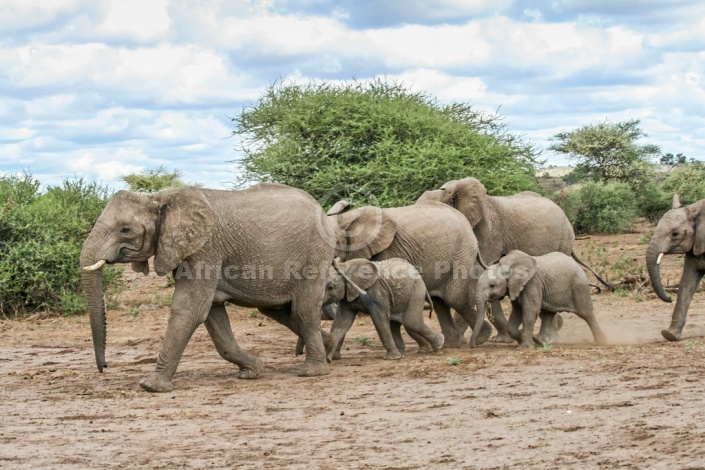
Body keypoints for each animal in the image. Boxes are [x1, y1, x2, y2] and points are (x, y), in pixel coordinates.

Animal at [78, 184, 336, 392]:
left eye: (125, 230)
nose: (104, 367)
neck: (159, 198)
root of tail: (321, 208)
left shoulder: (205, 249)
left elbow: (189, 309)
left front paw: (151, 386)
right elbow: (213, 315)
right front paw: (252, 371)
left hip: (314, 255)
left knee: (303, 310)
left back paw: (313, 371)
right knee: (278, 310)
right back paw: (330, 348)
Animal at [324, 198, 490, 348]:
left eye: (337, 243)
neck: (348, 218)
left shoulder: (388, 249)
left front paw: (424, 347)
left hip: (462, 253)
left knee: (454, 299)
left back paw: (480, 338)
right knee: (439, 301)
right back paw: (451, 344)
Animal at [472, 250, 604, 348]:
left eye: (492, 285)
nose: (472, 346)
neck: (509, 266)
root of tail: (577, 264)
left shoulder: (532, 283)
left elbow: (530, 311)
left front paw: (525, 347)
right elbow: (517, 313)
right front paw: (526, 339)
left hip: (579, 285)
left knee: (586, 313)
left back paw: (602, 341)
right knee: (547, 314)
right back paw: (541, 341)